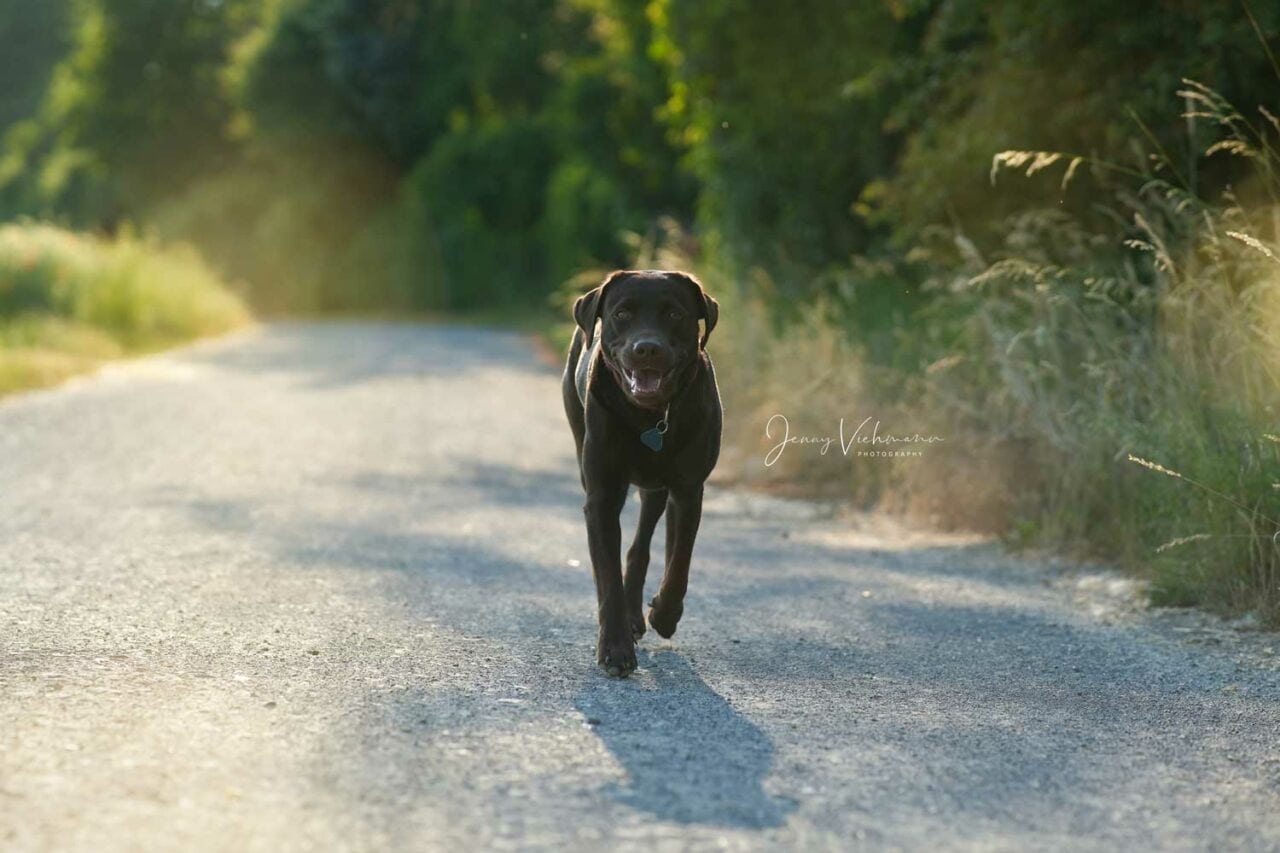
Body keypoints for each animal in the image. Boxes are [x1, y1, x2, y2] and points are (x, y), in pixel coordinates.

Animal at [560, 268, 721, 676]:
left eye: (675, 314)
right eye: (622, 314)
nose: (646, 348)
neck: (650, 417)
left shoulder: (689, 490)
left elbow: (679, 561)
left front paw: (664, 613)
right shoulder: (600, 497)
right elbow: (607, 574)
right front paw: (615, 647)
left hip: (657, 489)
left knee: (643, 543)